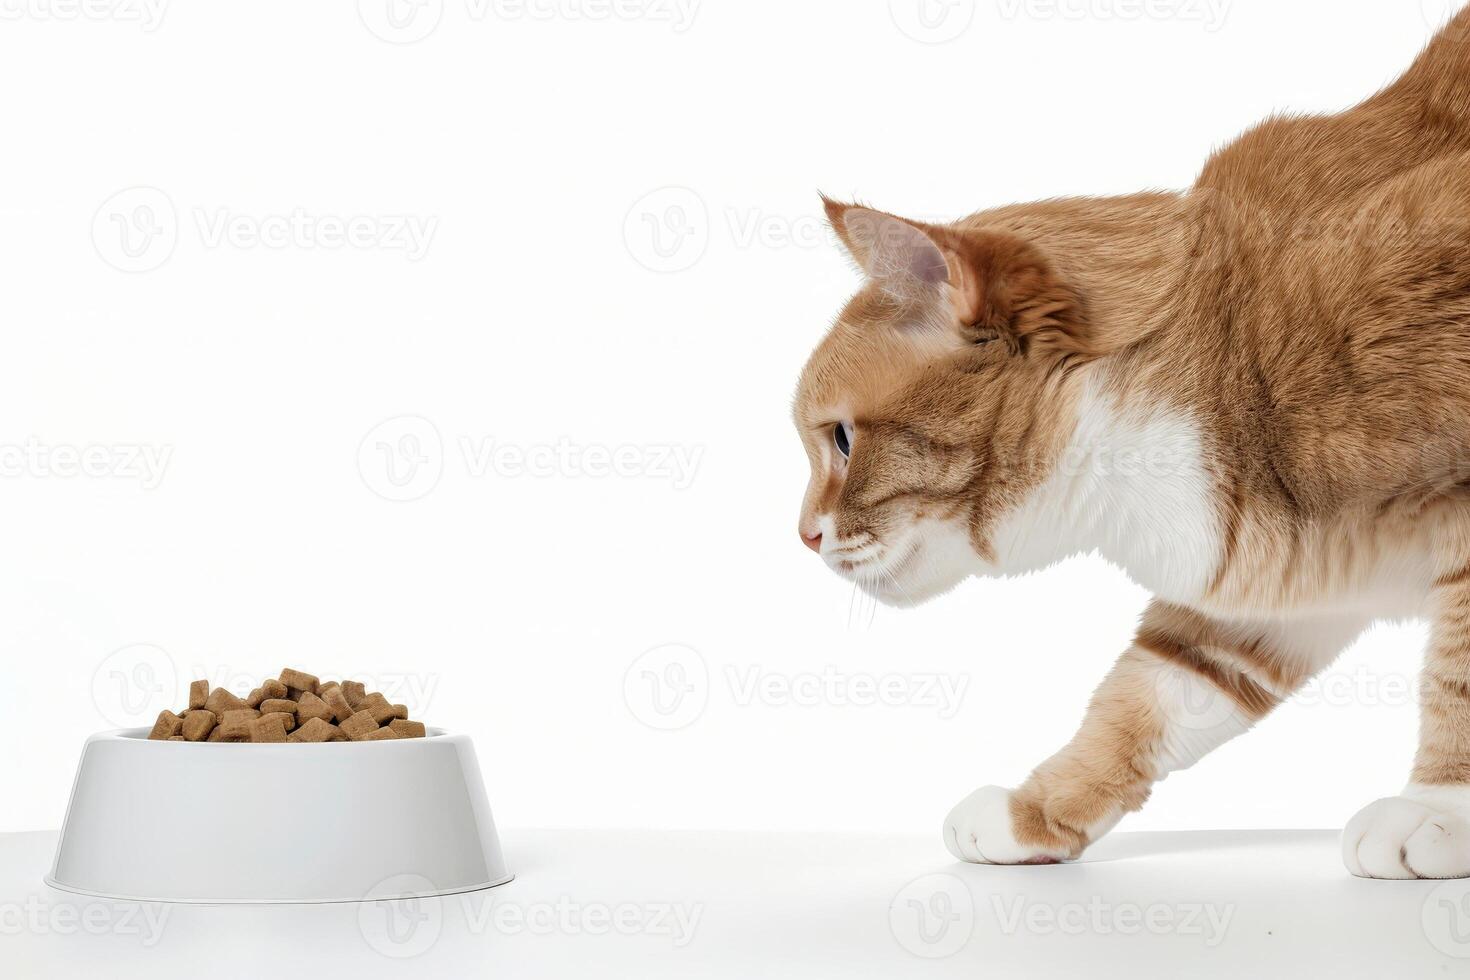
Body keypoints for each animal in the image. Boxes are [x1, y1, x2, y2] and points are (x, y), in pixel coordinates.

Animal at [799, 5, 1470, 881]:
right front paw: (1034, 813)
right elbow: (1145, 699)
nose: (803, 537)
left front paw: (1441, 812)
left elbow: (1459, 677)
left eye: (843, 441)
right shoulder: (1268, 593)